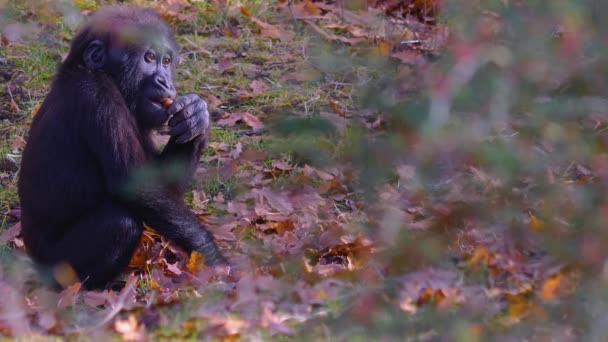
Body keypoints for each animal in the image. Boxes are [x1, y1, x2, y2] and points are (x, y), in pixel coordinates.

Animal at [20, 6, 228, 288]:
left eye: (166, 61)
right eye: (149, 58)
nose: (165, 82)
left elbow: (163, 184)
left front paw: (195, 116)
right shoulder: (97, 96)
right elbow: (137, 186)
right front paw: (213, 258)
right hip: (53, 265)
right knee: (120, 223)